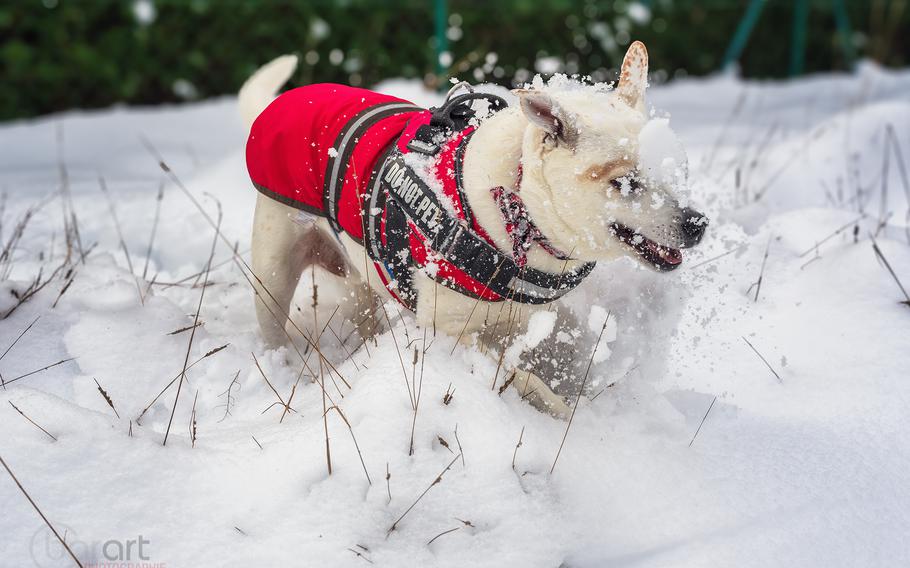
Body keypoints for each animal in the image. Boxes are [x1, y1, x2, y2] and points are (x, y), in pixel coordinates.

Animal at [240, 38, 704, 412]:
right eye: (625, 182)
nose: (697, 223)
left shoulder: (537, 313)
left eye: (679, 168)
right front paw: (562, 410)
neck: (518, 208)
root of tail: (281, 103)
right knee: (273, 322)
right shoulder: (446, 330)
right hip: (274, 271)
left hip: (358, 280)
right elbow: (518, 376)